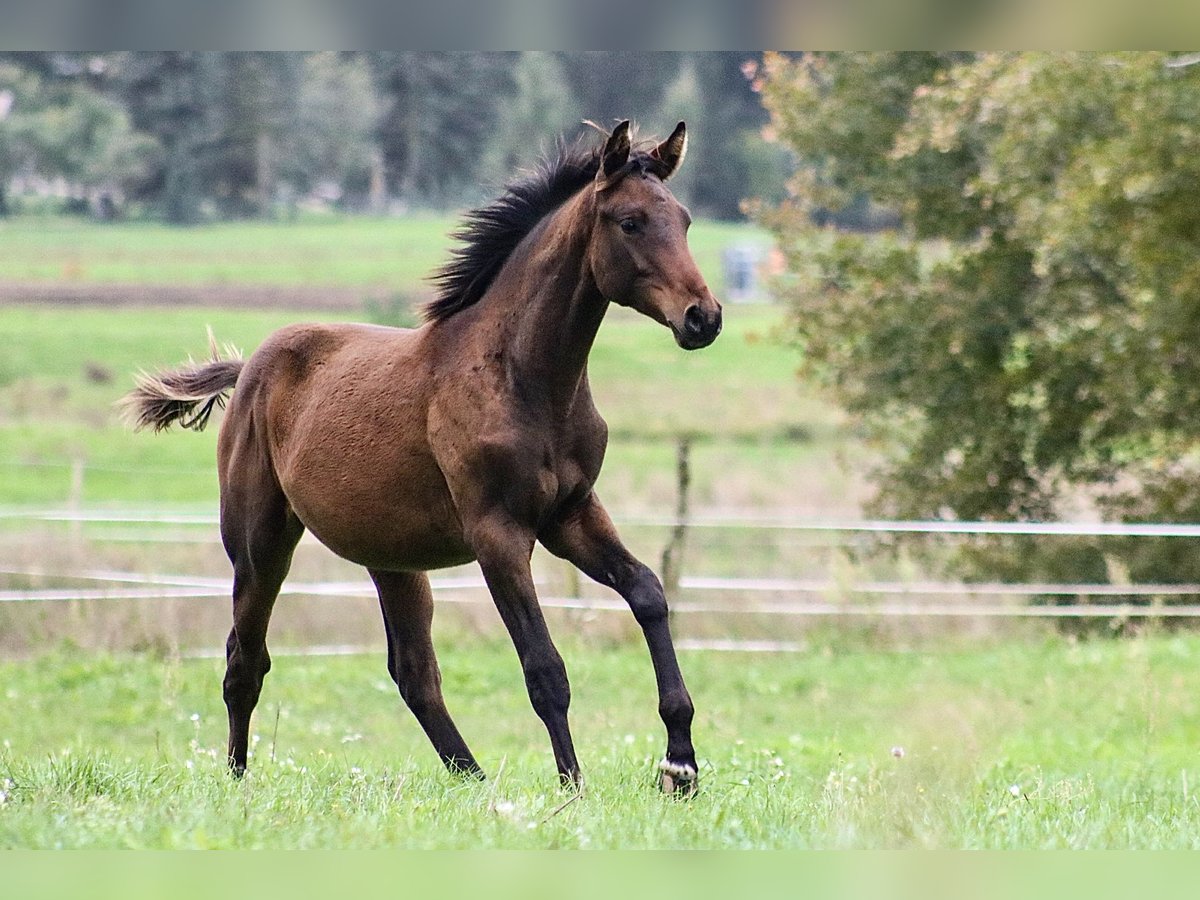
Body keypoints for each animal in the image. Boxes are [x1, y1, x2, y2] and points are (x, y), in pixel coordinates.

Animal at [124, 121, 720, 796]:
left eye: (685, 219)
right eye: (629, 222)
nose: (703, 317)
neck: (523, 378)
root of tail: (251, 364)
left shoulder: (571, 515)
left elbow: (648, 593)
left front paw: (680, 764)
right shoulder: (498, 535)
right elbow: (544, 669)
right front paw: (573, 785)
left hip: (394, 561)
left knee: (413, 673)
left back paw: (474, 780)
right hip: (259, 546)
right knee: (243, 661)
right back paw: (238, 780)